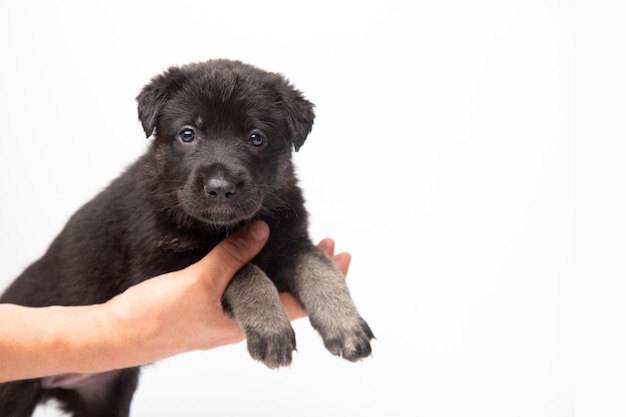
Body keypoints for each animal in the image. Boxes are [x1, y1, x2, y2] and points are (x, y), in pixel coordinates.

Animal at [0, 59, 370, 416]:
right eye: (187, 134)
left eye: (256, 137)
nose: (220, 188)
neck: (223, 226)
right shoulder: (163, 261)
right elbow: (246, 272)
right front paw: (270, 326)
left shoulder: (290, 241)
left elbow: (320, 269)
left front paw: (346, 324)